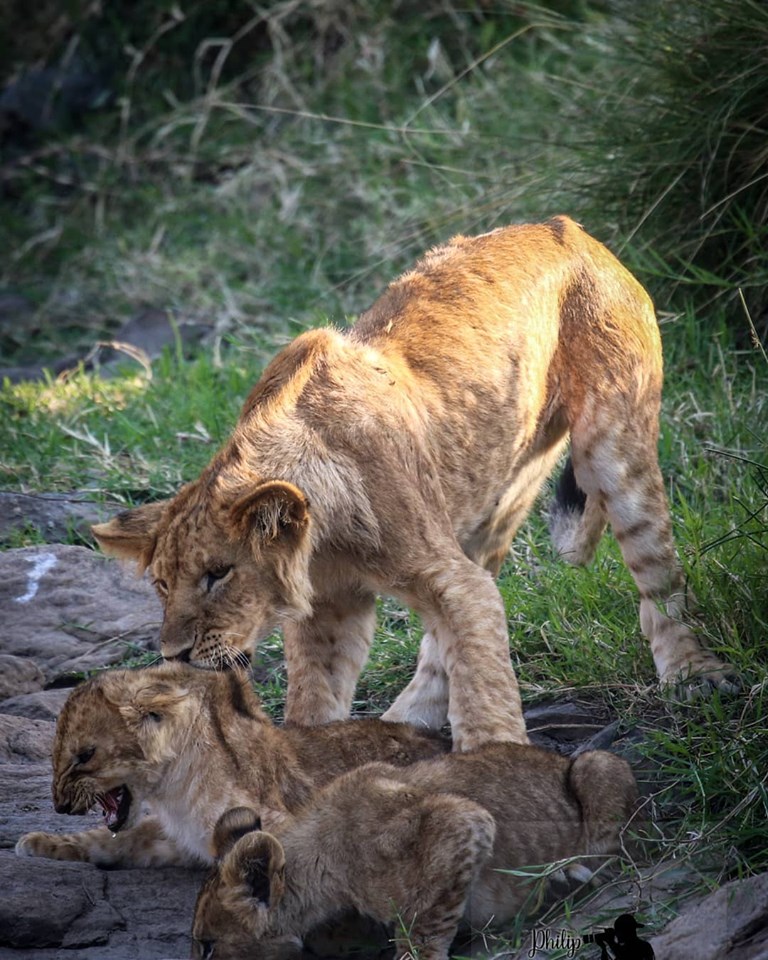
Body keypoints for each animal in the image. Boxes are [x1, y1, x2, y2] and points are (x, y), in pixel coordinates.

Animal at [15, 662, 448, 868]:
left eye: (85, 755)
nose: (58, 806)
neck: (173, 786)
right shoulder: (180, 839)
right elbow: (113, 840)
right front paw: (40, 841)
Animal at [91, 217, 736, 751]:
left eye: (219, 574)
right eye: (161, 584)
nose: (173, 655)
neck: (321, 540)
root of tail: (574, 231)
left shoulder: (443, 576)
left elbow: (484, 686)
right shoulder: (330, 606)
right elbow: (314, 701)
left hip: (613, 443)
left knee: (656, 572)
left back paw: (694, 676)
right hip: (491, 494)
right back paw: (407, 720)